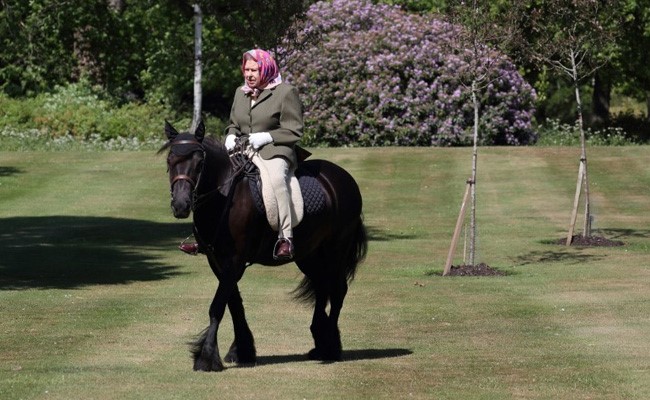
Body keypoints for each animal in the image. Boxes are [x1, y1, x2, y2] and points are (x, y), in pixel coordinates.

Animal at [159, 120, 368, 372]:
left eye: (200, 163)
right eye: (170, 160)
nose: (181, 205)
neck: (224, 195)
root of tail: (343, 178)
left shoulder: (235, 260)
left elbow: (218, 305)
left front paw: (207, 357)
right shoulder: (217, 260)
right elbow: (234, 303)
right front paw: (242, 350)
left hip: (336, 250)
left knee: (337, 290)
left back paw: (330, 347)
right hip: (309, 255)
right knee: (321, 287)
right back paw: (320, 342)